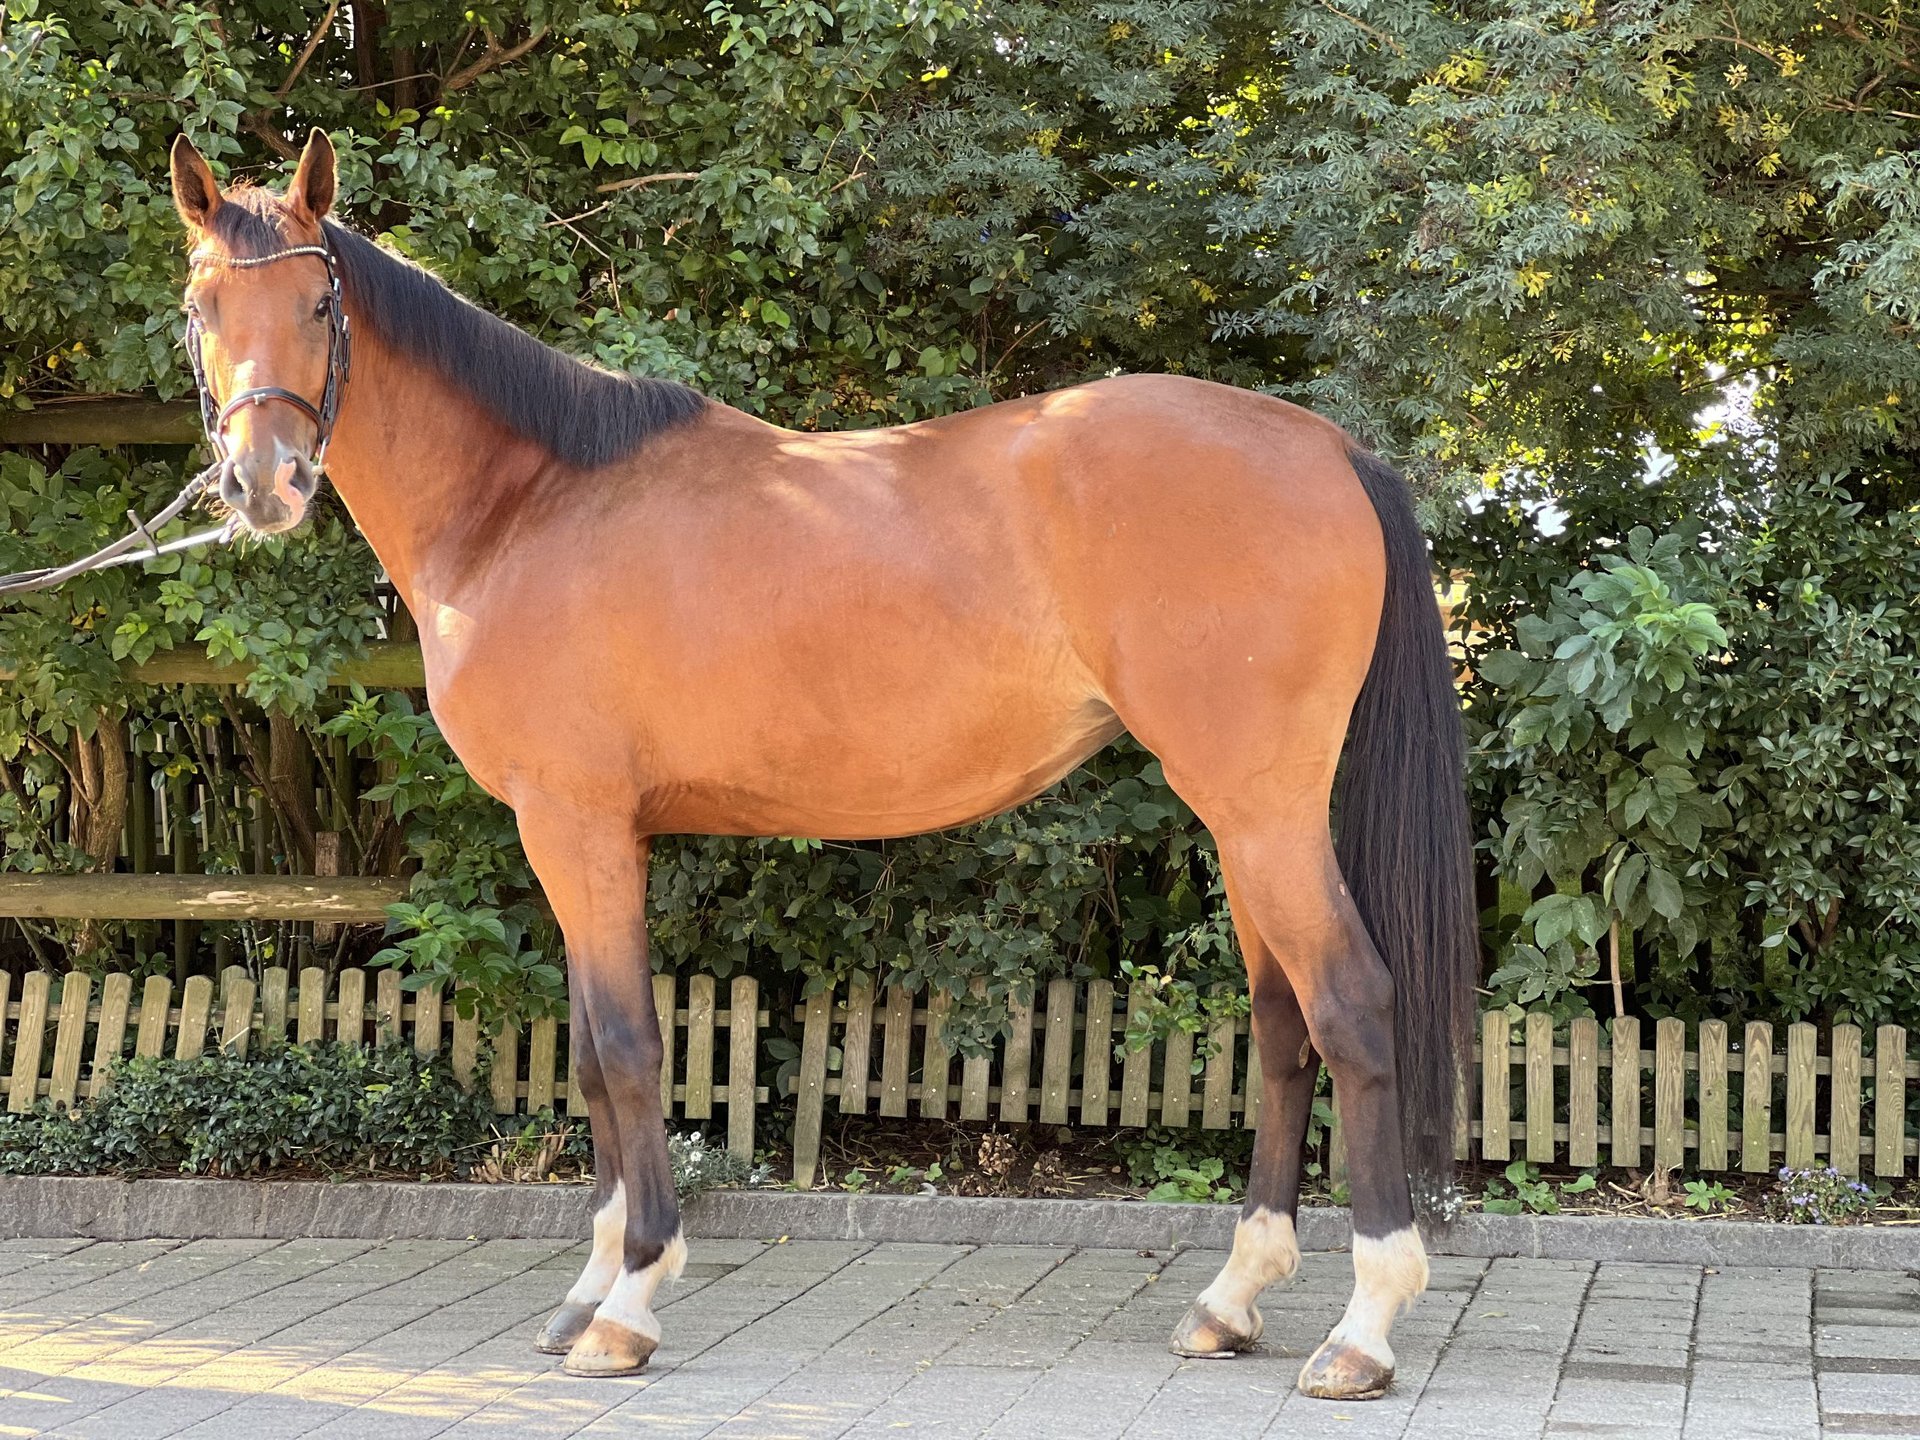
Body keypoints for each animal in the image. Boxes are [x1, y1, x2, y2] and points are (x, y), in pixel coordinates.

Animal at [172, 132, 1474, 1397]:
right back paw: (1231, 1300)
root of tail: (1329, 447)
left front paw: (630, 1303)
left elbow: (628, 1048)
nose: (263, 483)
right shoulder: (587, 836)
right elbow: (590, 1053)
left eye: (321, 302)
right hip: (1244, 816)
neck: (527, 503)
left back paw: (1363, 1329)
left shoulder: (575, 823)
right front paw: (588, 1290)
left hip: (1263, 808)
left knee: (1350, 1007)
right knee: (1284, 1022)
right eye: (200, 306)